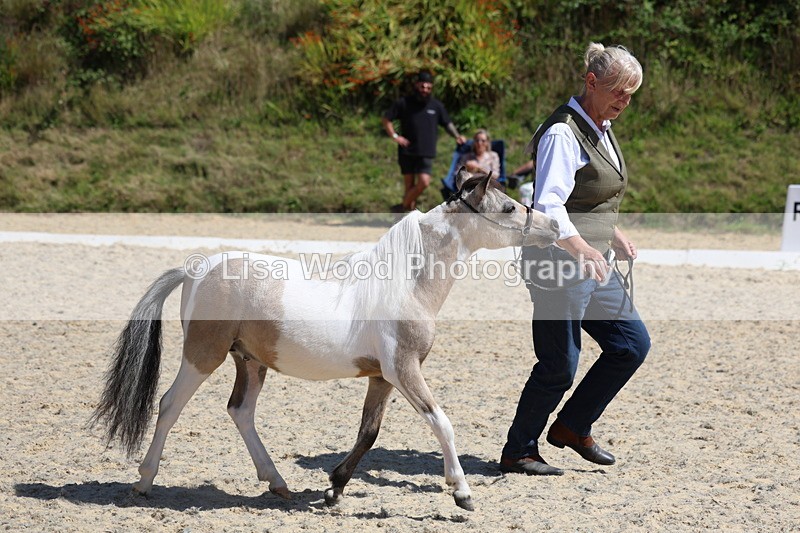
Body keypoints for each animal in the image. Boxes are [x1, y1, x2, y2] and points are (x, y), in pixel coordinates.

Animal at [91, 170, 559, 511]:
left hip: (251, 361)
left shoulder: (382, 378)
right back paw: (144, 482)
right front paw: (461, 492)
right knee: (170, 405)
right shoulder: (404, 370)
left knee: (241, 412)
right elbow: (441, 422)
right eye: (508, 206)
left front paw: (334, 488)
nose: (554, 225)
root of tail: (196, 270)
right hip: (204, 356)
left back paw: (278, 484)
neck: (406, 283)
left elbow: (368, 433)